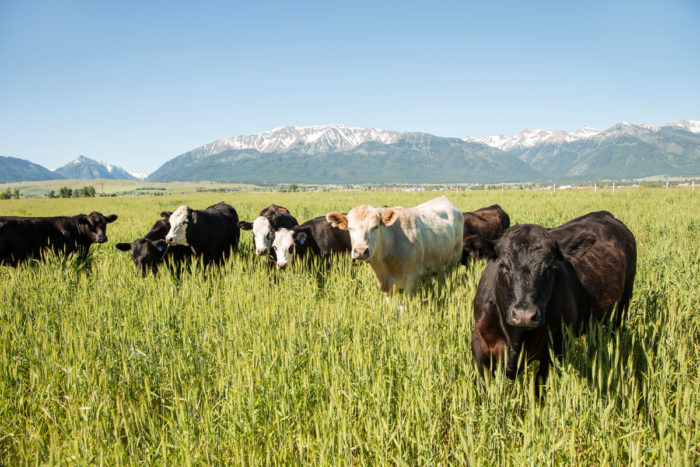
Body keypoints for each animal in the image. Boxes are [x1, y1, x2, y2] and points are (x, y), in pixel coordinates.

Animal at [328, 197, 464, 298]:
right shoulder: (387, 286)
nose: (361, 251)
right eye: (350, 228)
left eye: (375, 227)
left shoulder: (410, 281)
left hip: (451, 265)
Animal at [468, 212, 636, 392]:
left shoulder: (554, 349)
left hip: (621, 309)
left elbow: (538, 389)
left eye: (549, 268)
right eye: (503, 266)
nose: (524, 315)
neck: (514, 336)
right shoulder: (479, 343)